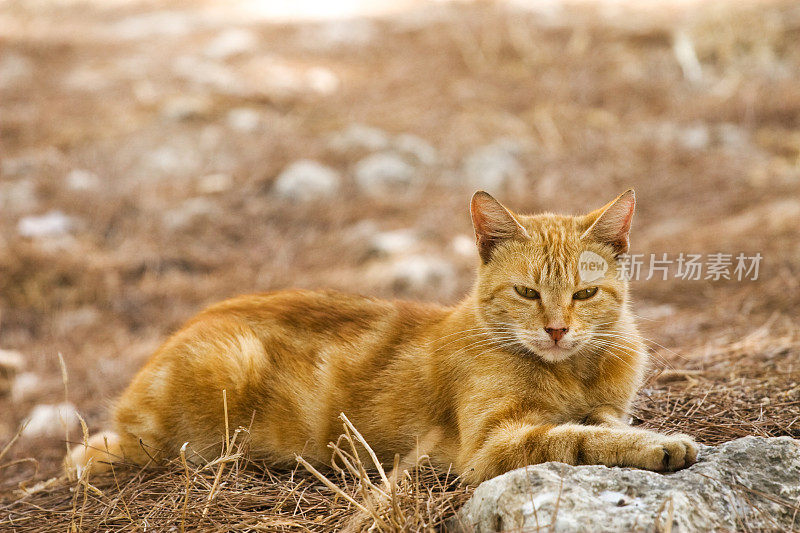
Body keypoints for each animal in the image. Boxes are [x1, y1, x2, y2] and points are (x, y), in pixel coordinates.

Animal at [72, 190, 696, 482]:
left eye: (584, 295)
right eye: (526, 293)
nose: (558, 329)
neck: (573, 371)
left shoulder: (604, 403)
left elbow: (604, 422)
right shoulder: (495, 444)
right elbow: (583, 439)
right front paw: (660, 445)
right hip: (228, 365)